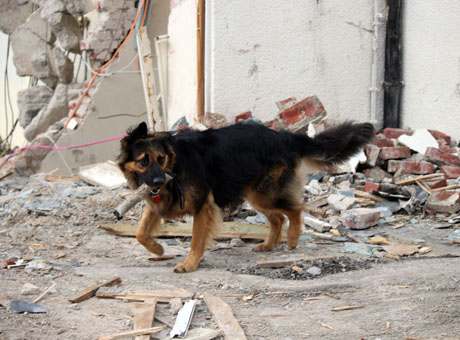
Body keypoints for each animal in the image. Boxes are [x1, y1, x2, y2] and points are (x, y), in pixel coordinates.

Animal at [118, 121, 374, 272]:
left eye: (160, 159)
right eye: (144, 161)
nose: (158, 182)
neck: (176, 163)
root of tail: (284, 136)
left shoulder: (203, 206)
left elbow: (196, 240)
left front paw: (189, 263)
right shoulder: (156, 203)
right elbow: (140, 233)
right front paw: (158, 250)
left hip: (264, 194)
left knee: (295, 209)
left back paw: (292, 239)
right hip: (256, 194)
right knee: (278, 218)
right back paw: (269, 245)